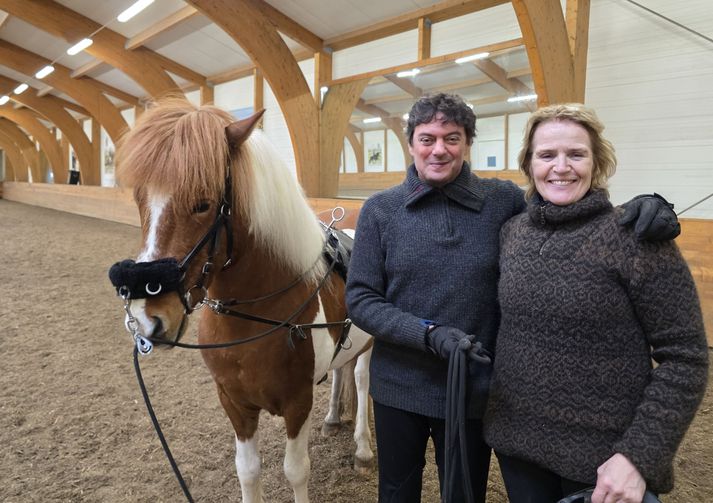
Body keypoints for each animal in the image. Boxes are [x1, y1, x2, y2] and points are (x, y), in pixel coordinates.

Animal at [110, 98, 372, 503]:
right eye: (140, 198)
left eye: (203, 203)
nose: (147, 317)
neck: (255, 318)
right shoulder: (234, 402)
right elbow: (247, 472)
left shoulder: (297, 402)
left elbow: (296, 470)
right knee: (343, 370)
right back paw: (331, 419)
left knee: (360, 378)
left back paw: (362, 449)